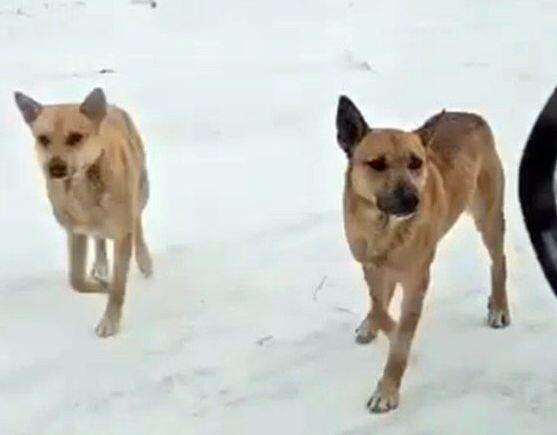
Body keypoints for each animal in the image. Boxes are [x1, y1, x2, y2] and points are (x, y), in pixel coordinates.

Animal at [14, 88, 152, 338]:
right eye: (43, 139)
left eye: (75, 137)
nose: (55, 168)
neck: (82, 190)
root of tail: (111, 107)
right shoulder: (75, 231)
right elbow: (75, 280)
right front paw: (102, 286)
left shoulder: (121, 231)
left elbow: (119, 285)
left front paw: (109, 321)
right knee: (99, 239)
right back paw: (101, 265)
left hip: (142, 187)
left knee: (137, 221)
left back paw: (144, 259)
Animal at [336, 95, 510, 412]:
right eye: (377, 164)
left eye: (416, 162)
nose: (411, 200)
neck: (384, 228)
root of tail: (472, 115)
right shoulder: (369, 265)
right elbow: (379, 306)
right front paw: (375, 325)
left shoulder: (416, 279)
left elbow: (400, 336)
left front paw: (387, 389)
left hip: (488, 214)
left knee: (498, 260)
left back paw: (499, 307)